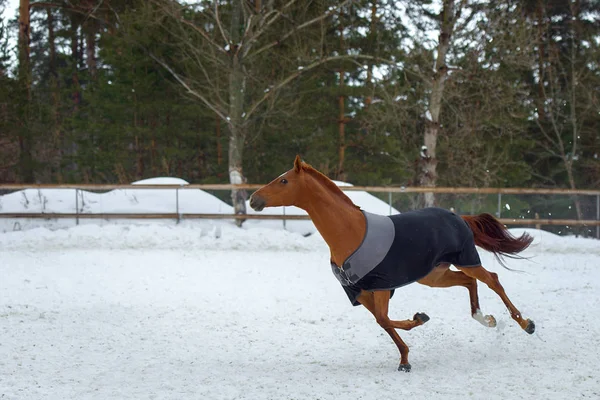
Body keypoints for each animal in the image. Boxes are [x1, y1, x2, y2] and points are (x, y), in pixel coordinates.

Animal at [248, 155, 536, 372]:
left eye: (283, 180)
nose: (253, 199)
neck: (352, 233)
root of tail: (458, 217)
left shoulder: (382, 286)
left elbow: (385, 319)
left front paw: (415, 331)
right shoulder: (360, 292)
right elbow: (382, 321)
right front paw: (407, 354)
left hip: (466, 260)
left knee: (492, 280)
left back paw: (525, 324)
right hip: (433, 276)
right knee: (468, 281)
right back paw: (485, 319)